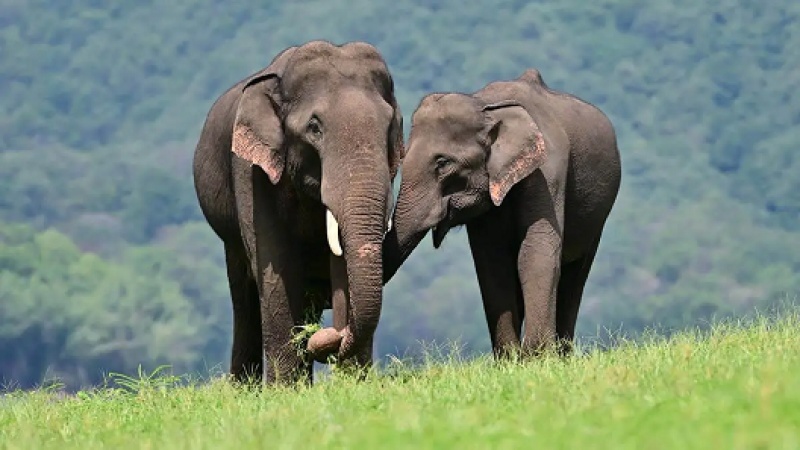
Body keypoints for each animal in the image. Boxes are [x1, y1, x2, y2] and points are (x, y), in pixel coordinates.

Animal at [193, 40, 404, 385]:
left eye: (390, 126)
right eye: (314, 128)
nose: (328, 337)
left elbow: (340, 265)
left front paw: (354, 384)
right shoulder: (251, 171)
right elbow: (276, 265)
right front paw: (285, 391)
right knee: (243, 296)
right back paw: (245, 387)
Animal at [382, 69, 621, 358]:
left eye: (443, 163)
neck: (487, 107)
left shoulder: (547, 171)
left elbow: (534, 250)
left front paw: (537, 358)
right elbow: (492, 262)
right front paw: (510, 359)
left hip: (598, 217)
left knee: (576, 275)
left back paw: (562, 355)